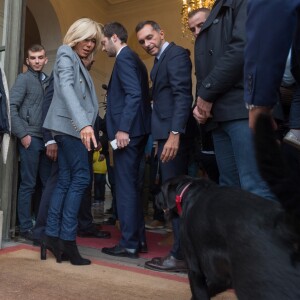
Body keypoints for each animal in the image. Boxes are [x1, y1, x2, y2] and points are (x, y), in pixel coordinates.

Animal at [156, 115, 300, 300]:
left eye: (161, 191)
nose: (155, 198)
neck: (188, 190)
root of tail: (281, 222)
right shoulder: (221, 277)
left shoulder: (195, 269)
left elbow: (199, 292)